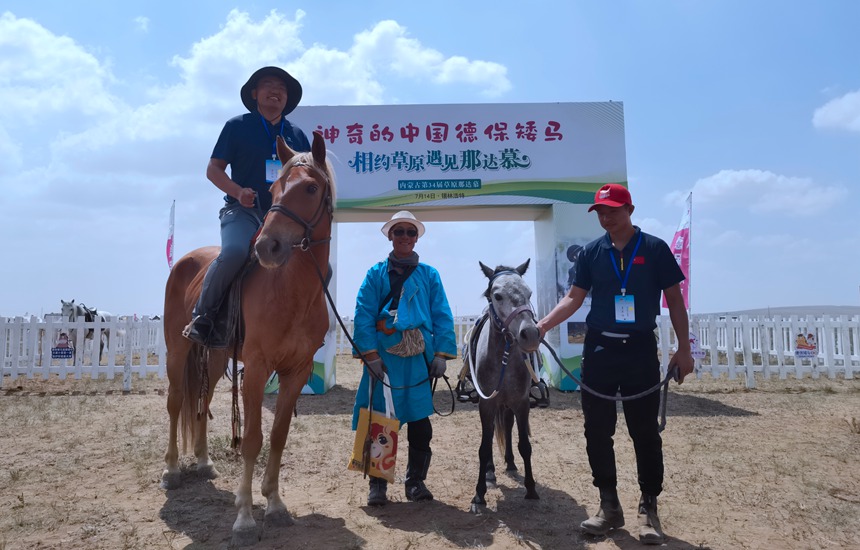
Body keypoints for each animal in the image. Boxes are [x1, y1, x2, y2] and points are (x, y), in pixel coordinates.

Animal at [161, 132, 336, 544]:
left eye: (310, 187)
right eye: (273, 189)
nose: (267, 246)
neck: (292, 290)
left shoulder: (296, 371)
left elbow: (278, 435)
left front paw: (275, 504)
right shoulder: (256, 369)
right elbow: (253, 439)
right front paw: (244, 518)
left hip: (215, 357)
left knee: (202, 402)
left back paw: (204, 462)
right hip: (178, 349)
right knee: (176, 403)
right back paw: (173, 470)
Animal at [466, 260, 540, 516]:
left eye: (529, 293)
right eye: (497, 295)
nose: (531, 334)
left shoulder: (521, 403)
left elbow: (525, 445)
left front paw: (531, 488)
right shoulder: (486, 404)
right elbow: (483, 447)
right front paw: (479, 494)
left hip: (508, 405)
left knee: (507, 427)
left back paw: (510, 463)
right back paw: (490, 472)